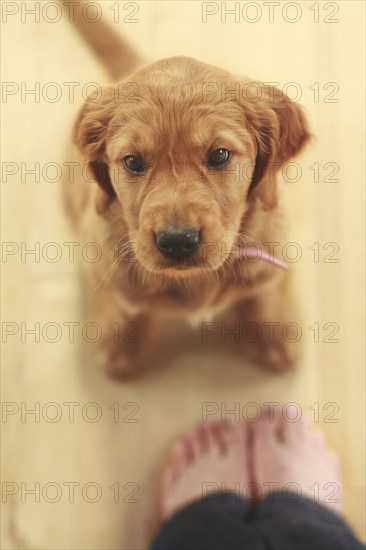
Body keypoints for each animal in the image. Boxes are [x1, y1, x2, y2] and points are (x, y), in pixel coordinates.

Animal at [64, 9, 310, 384]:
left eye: (220, 155)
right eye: (133, 162)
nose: (177, 241)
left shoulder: (273, 255)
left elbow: (263, 295)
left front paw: (275, 338)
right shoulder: (102, 263)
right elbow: (123, 306)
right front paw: (120, 350)